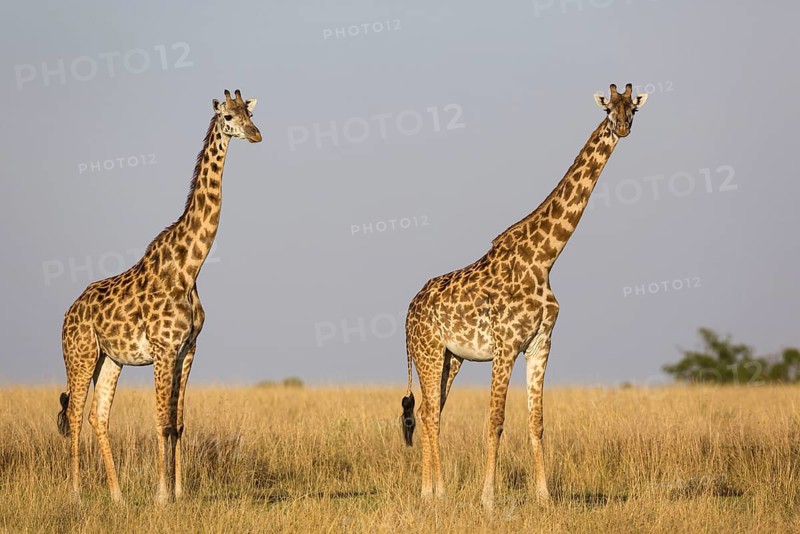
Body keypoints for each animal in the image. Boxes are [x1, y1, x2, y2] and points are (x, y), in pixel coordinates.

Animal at [57, 89, 261, 504]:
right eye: (229, 117)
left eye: (250, 114)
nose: (256, 134)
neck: (189, 268)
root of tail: (67, 314)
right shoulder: (164, 350)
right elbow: (161, 423)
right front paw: (162, 495)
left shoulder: (188, 350)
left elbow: (178, 423)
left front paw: (180, 492)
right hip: (80, 354)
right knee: (74, 415)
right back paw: (77, 495)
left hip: (109, 359)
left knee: (98, 416)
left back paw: (117, 496)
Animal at [401, 84, 648, 508]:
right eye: (608, 109)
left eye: (632, 108)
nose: (622, 128)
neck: (545, 258)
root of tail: (407, 312)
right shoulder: (505, 345)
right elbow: (495, 421)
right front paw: (488, 499)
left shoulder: (540, 344)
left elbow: (537, 422)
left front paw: (544, 496)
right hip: (428, 352)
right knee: (430, 413)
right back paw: (435, 493)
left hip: (451, 358)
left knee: (435, 413)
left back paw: (433, 492)